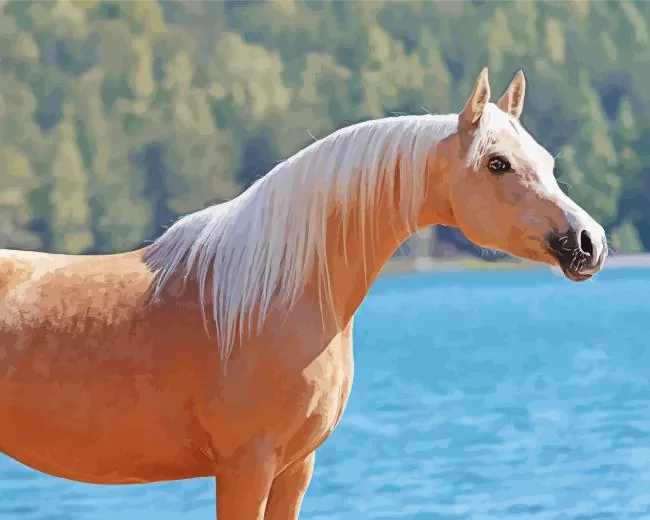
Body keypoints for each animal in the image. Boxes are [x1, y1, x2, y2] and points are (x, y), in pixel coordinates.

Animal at [0, 67, 607, 519]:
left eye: (546, 161)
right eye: (497, 162)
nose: (589, 242)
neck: (272, 299)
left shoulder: (295, 469)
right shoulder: (246, 467)